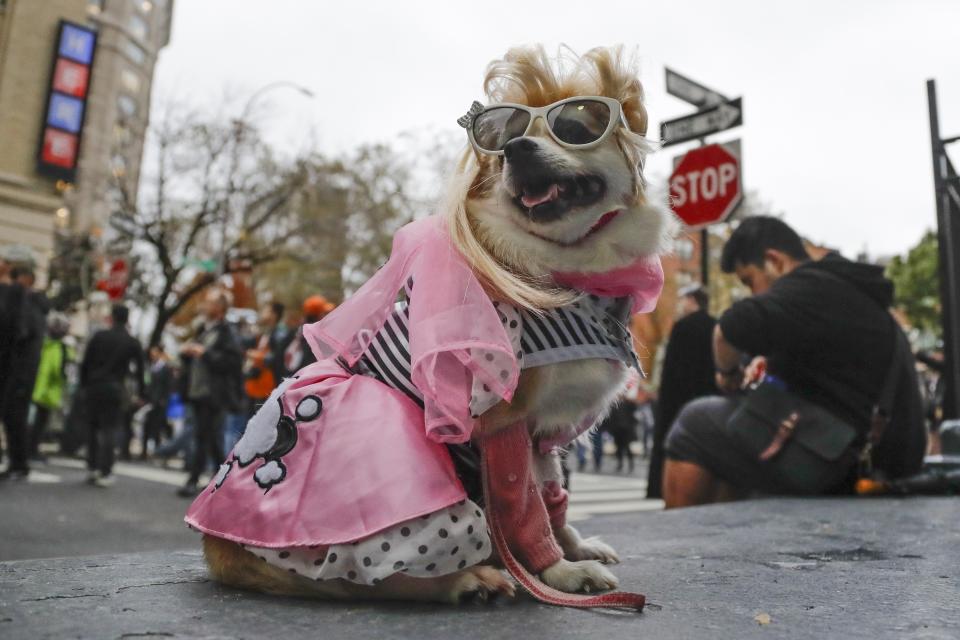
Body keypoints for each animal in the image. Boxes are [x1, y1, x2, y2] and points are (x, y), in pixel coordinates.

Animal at [188, 45, 668, 604]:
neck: (568, 275)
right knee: (372, 580)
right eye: (502, 143)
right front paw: (558, 574)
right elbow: (524, 509)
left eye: (573, 126)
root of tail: (218, 549)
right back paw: (469, 579)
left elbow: (553, 496)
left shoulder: (542, 436)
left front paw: (574, 549)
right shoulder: (504, 422)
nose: (516, 150)